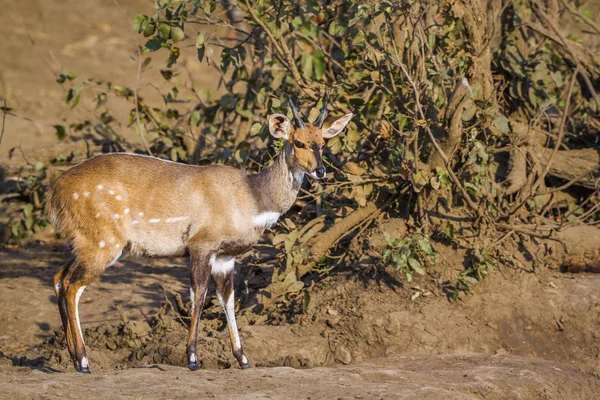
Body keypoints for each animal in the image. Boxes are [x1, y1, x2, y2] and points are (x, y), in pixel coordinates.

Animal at [48, 95, 356, 374]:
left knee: (59, 278)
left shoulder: (225, 258)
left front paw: (243, 360)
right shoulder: (201, 246)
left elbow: (228, 299)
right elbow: (198, 294)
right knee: (73, 286)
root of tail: (55, 191)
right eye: (299, 142)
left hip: (85, 243)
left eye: (323, 142)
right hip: (104, 244)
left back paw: (74, 359)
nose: (321, 171)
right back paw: (84, 362)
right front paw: (192, 359)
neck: (252, 197)